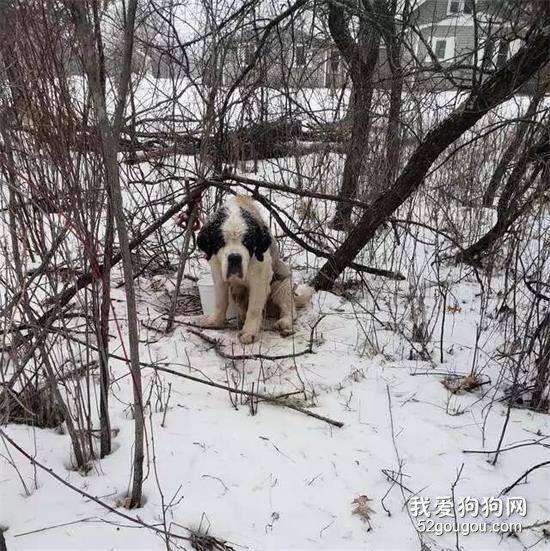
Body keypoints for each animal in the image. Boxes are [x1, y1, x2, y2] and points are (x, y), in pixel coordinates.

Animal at [196, 195, 312, 344]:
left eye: (247, 242)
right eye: (221, 242)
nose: (234, 257)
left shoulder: (260, 278)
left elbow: (254, 308)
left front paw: (249, 332)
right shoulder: (218, 272)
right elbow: (220, 301)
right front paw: (215, 321)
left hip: (282, 285)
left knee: (289, 308)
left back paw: (283, 322)